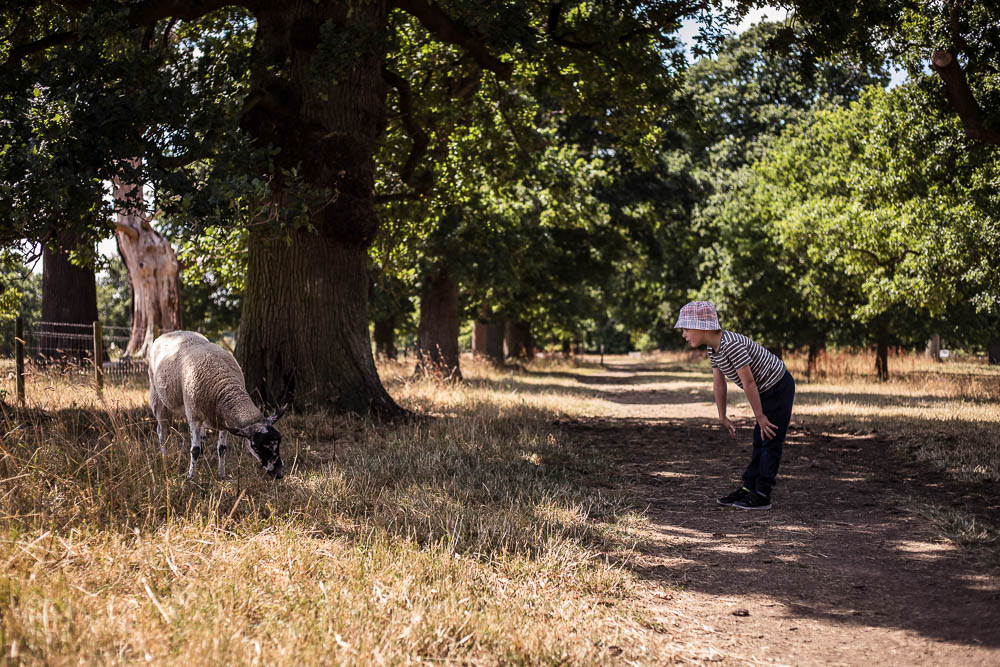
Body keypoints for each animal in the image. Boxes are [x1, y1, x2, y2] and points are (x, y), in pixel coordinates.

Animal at [147, 330, 287, 480]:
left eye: (279, 442)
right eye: (256, 447)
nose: (279, 473)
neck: (224, 383)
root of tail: (172, 332)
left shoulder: (224, 420)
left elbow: (222, 449)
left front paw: (221, 475)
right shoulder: (194, 416)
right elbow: (194, 450)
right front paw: (191, 478)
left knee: (200, 437)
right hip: (157, 397)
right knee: (161, 431)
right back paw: (164, 457)